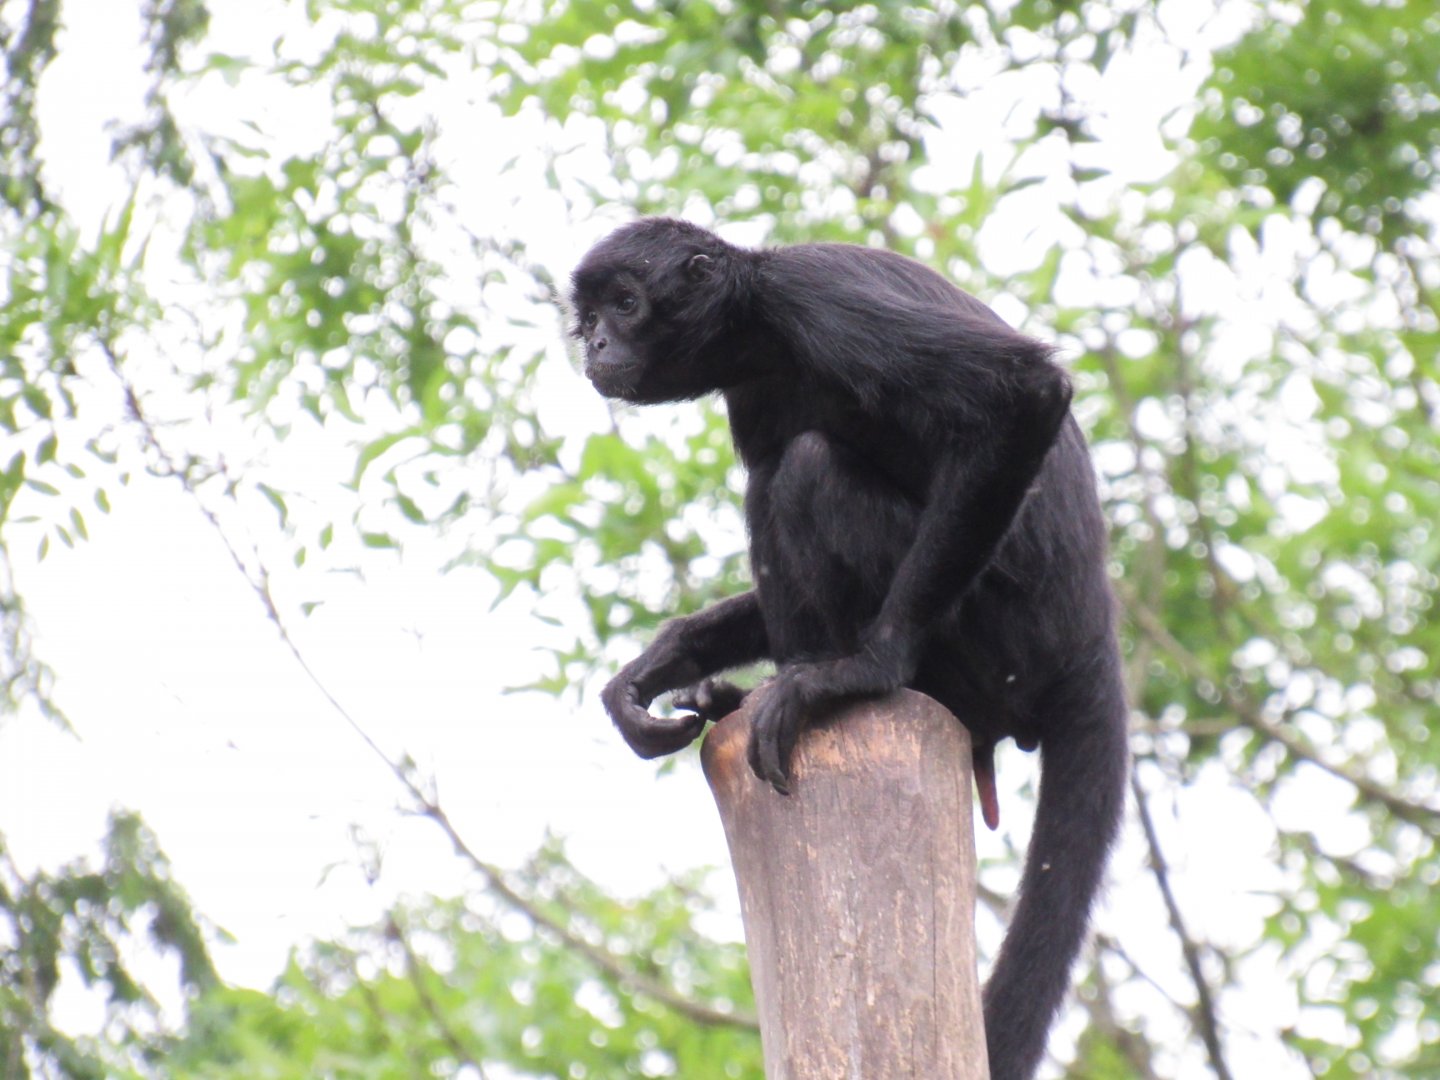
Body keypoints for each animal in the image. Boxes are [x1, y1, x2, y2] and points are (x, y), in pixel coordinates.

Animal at [570, 217, 1128, 1080]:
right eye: (590, 316)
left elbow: (1024, 394)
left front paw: (864, 670)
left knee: (805, 466)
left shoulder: (819, 298)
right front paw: (660, 664)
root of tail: (1092, 627)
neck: (764, 329)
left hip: (996, 641)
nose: (596, 341)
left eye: (625, 305)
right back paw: (735, 696)